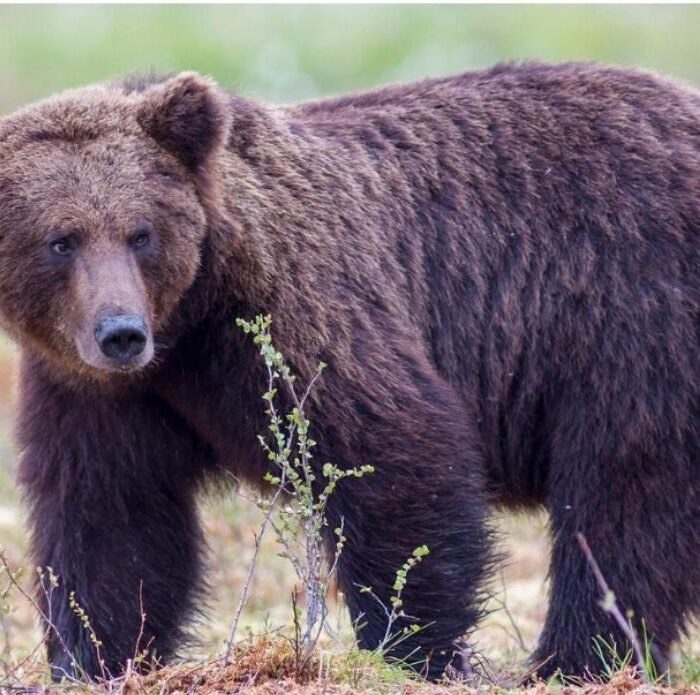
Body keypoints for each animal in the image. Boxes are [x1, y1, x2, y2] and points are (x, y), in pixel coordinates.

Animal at [0, 61, 698, 683]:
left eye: (140, 233)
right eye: (61, 240)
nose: (121, 333)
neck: (189, 321)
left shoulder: (291, 311)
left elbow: (396, 454)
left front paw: (416, 649)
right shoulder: (95, 389)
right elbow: (112, 518)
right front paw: (92, 658)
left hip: (628, 309)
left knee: (623, 491)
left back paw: (575, 661)